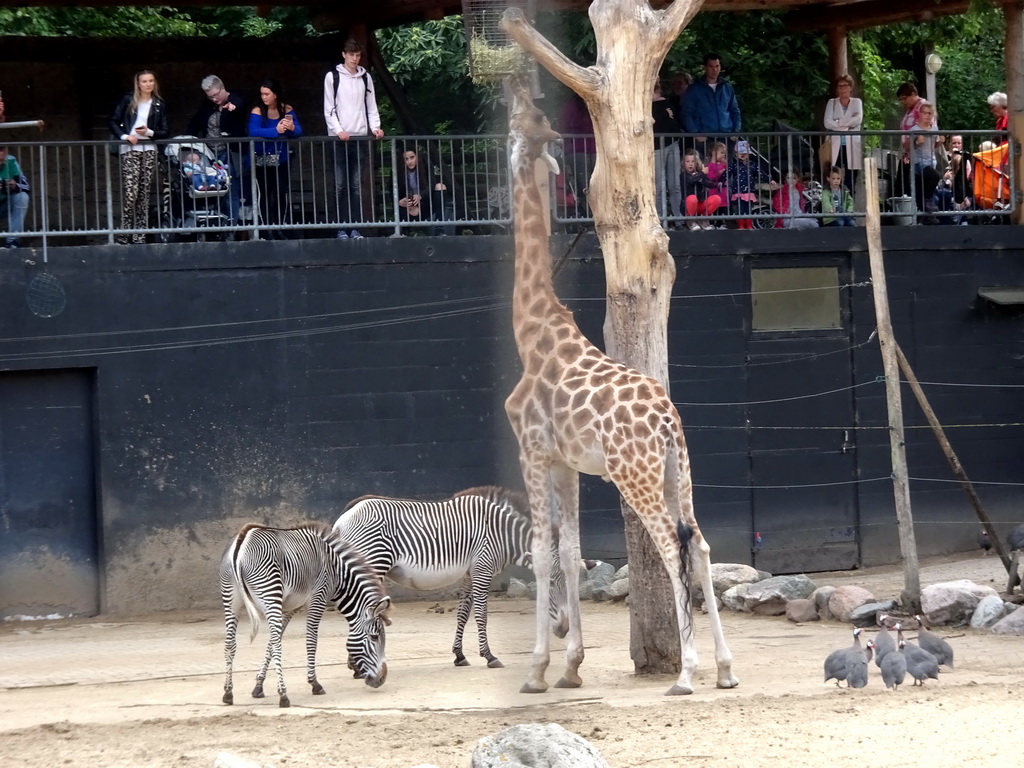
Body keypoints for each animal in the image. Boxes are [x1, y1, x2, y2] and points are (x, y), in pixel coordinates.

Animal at [220, 524, 391, 708]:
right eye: (374, 637)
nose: (382, 679)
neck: (336, 572)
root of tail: (242, 541)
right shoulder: (318, 599)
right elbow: (310, 642)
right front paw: (314, 683)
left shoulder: (291, 608)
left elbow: (271, 643)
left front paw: (258, 685)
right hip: (270, 593)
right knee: (277, 646)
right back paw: (283, 695)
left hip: (231, 598)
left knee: (230, 644)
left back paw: (228, 693)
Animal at [333, 489, 569, 671]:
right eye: (550, 583)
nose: (564, 630)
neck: (501, 532)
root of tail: (343, 519)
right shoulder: (483, 569)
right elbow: (481, 615)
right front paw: (489, 656)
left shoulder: (469, 574)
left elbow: (462, 615)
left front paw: (459, 655)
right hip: (373, 563)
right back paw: (355, 663)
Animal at [501, 81, 737, 700]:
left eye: (517, 126)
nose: (513, 93)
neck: (531, 332)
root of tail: (667, 421)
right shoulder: (566, 462)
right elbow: (572, 551)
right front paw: (570, 665)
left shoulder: (531, 450)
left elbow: (540, 553)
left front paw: (536, 669)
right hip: (677, 470)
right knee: (702, 543)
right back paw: (725, 668)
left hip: (636, 474)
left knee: (671, 545)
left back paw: (686, 673)